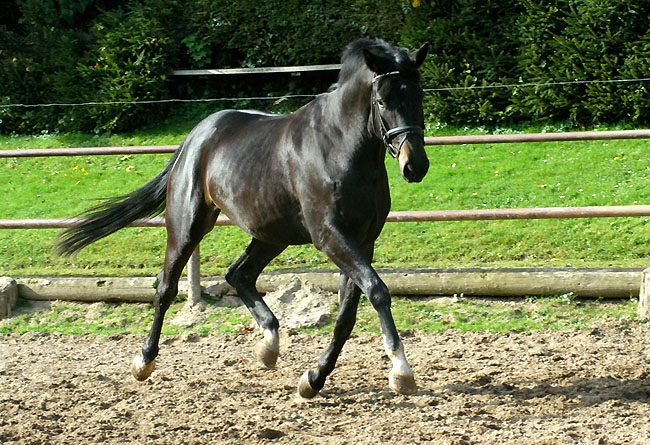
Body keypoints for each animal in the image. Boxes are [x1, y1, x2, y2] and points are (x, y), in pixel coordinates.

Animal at [58, 40, 428, 398]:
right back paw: (144, 362)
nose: (416, 166)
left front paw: (313, 379)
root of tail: (195, 137)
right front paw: (401, 372)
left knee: (239, 274)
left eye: (419, 95)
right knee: (166, 287)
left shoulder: (363, 241)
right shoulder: (330, 236)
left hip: (272, 234)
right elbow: (377, 291)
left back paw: (268, 345)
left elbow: (347, 315)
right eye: (381, 100)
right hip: (188, 226)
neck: (340, 150)